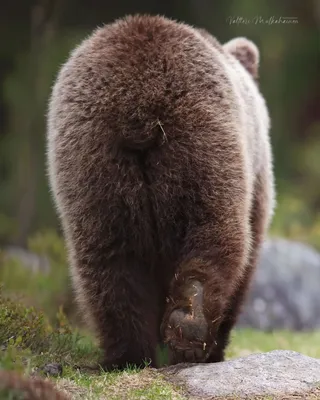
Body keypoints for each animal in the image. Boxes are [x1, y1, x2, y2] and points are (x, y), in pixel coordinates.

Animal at [47, 14, 276, 368]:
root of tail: (138, 105)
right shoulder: (258, 174)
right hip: (204, 141)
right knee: (215, 229)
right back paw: (193, 325)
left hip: (90, 158)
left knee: (109, 258)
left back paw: (131, 353)